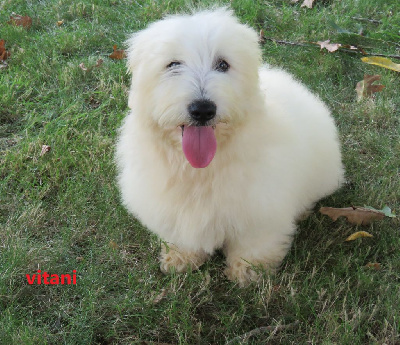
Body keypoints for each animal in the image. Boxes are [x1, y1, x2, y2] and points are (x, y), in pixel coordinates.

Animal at [115, 8, 344, 284]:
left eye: (223, 65)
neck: (201, 169)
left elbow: (255, 240)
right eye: (173, 65)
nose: (203, 109)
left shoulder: (261, 207)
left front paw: (249, 269)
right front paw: (182, 256)